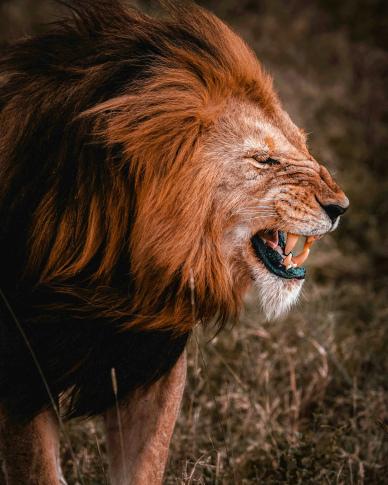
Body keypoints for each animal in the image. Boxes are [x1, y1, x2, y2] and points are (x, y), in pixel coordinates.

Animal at [0, 1, 348, 482]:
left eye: (301, 145)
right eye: (263, 159)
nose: (341, 207)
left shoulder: (152, 358)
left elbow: (144, 467)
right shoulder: (22, 372)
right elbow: (38, 471)